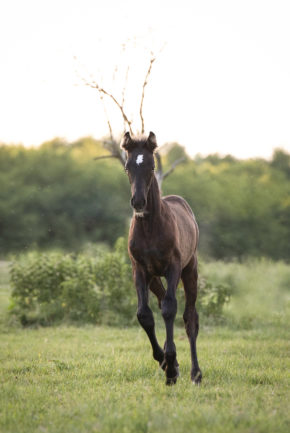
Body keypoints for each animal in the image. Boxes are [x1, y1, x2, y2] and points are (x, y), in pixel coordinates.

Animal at [120, 130, 202, 384]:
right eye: (127, 166)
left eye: (151, 165)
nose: (138, 202)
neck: (150, 228)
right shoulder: (140, 270)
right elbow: (144, 314)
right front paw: (165, 361)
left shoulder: (173, 267)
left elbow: (169, 309)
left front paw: (171, 369)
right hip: (154, 278)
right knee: (162, 301)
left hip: (189, 270)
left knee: (189, 317)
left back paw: (196, 373)